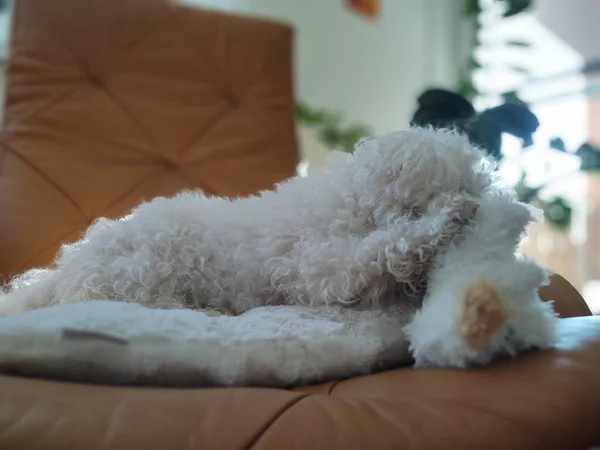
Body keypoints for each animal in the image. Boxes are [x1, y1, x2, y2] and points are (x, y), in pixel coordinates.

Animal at [0, 127, 556, 370]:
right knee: (138, 299)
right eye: (443, 189)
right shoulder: (320, 266)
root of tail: (65, 267)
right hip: (145, 266)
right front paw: (442, 225)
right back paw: (200, 308)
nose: (474, 201)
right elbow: (381, 248)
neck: (356, 204)